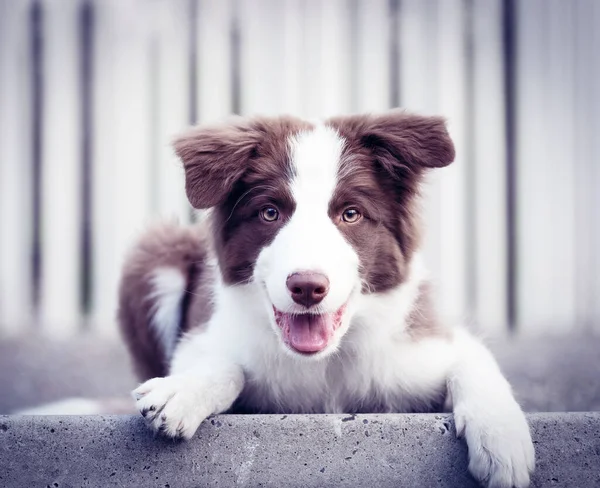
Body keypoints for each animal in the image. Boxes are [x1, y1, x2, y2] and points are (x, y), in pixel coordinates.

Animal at [118, 111, 536, 488]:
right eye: (269, 212)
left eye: (350, 214)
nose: (307, 287)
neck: (325, 366)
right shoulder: (203, 338)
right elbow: (224, 365)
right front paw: (183, 390)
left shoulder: (425, 345)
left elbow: (473, 361)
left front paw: (503, 441)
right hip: (156, 250)